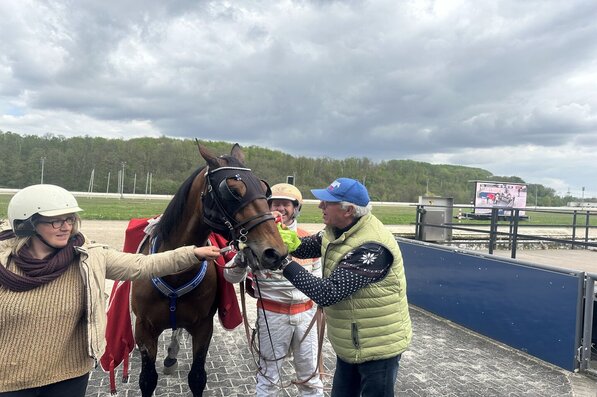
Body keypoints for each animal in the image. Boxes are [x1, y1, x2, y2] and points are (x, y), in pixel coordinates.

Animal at [131, 143, 288, 396]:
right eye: (233, 190)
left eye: (265, 190)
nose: (275, 252)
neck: (174, 272)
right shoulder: (145, 330)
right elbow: (147, 379)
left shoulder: (203, 327)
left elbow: (197, 377)